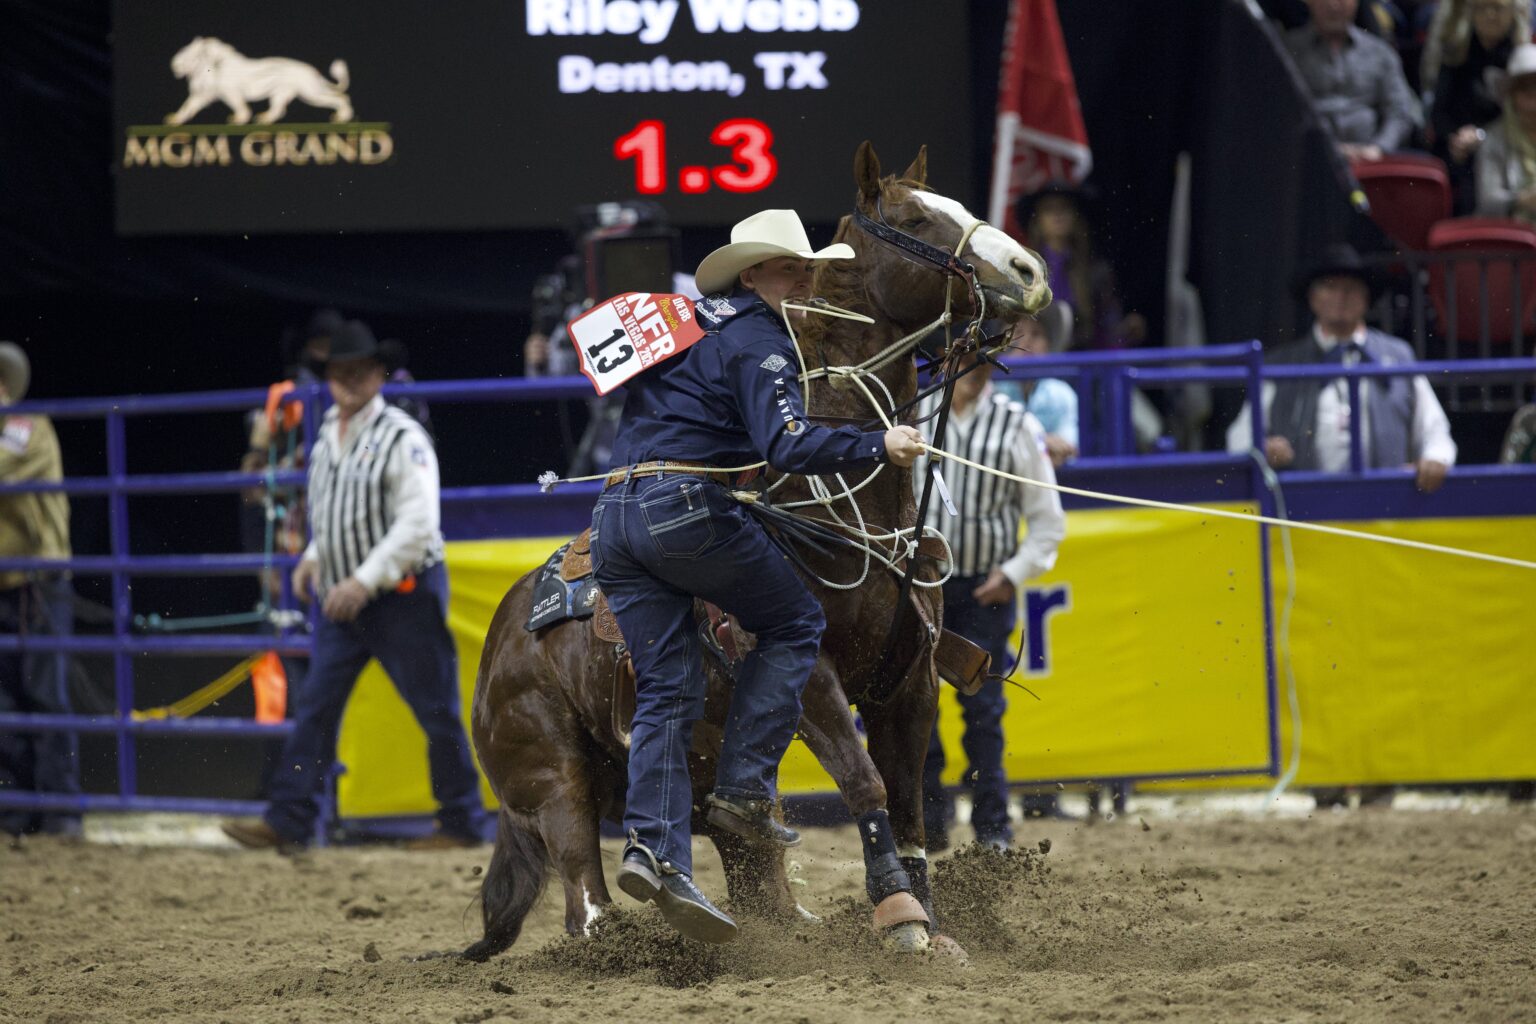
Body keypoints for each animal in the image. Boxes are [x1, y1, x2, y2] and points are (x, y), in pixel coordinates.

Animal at [460, 144, 1050, 964]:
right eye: (911, 219)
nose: (1029, 270)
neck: (824, 506)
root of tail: (502, 638)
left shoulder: (907, 683)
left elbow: (908, 803)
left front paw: (934, 926)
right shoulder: (809, 675)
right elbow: (864, 783)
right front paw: (900, 915)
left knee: (746, 857)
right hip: (555, 777)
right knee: (585, 887)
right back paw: (629, 936)